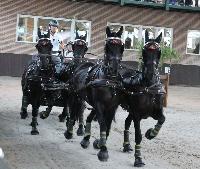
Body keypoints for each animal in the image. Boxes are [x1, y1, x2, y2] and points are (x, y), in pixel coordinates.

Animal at [64, 26, 124, 161]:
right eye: (107, 46)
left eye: (121, 46)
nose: (114, 68)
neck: (109, 80)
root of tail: (81, 64)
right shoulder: (100, 104)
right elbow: (103, 124)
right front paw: (103, 150)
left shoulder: (112, 107)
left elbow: (108, 125)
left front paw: (99, 143)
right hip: (75, 96)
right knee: (73, 111)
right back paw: (69, 131)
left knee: (86, 115)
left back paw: (86, 138)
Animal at [120, 30, 166, 166]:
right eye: (144, 51)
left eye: (158, 51)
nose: (150, 73)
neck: (148, 86)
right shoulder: (137, 115)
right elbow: (138, 135)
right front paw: (138, 158)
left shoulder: (155, 111)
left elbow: (162, 119)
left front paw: (151, 133)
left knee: (126, 122)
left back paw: (126, 145)